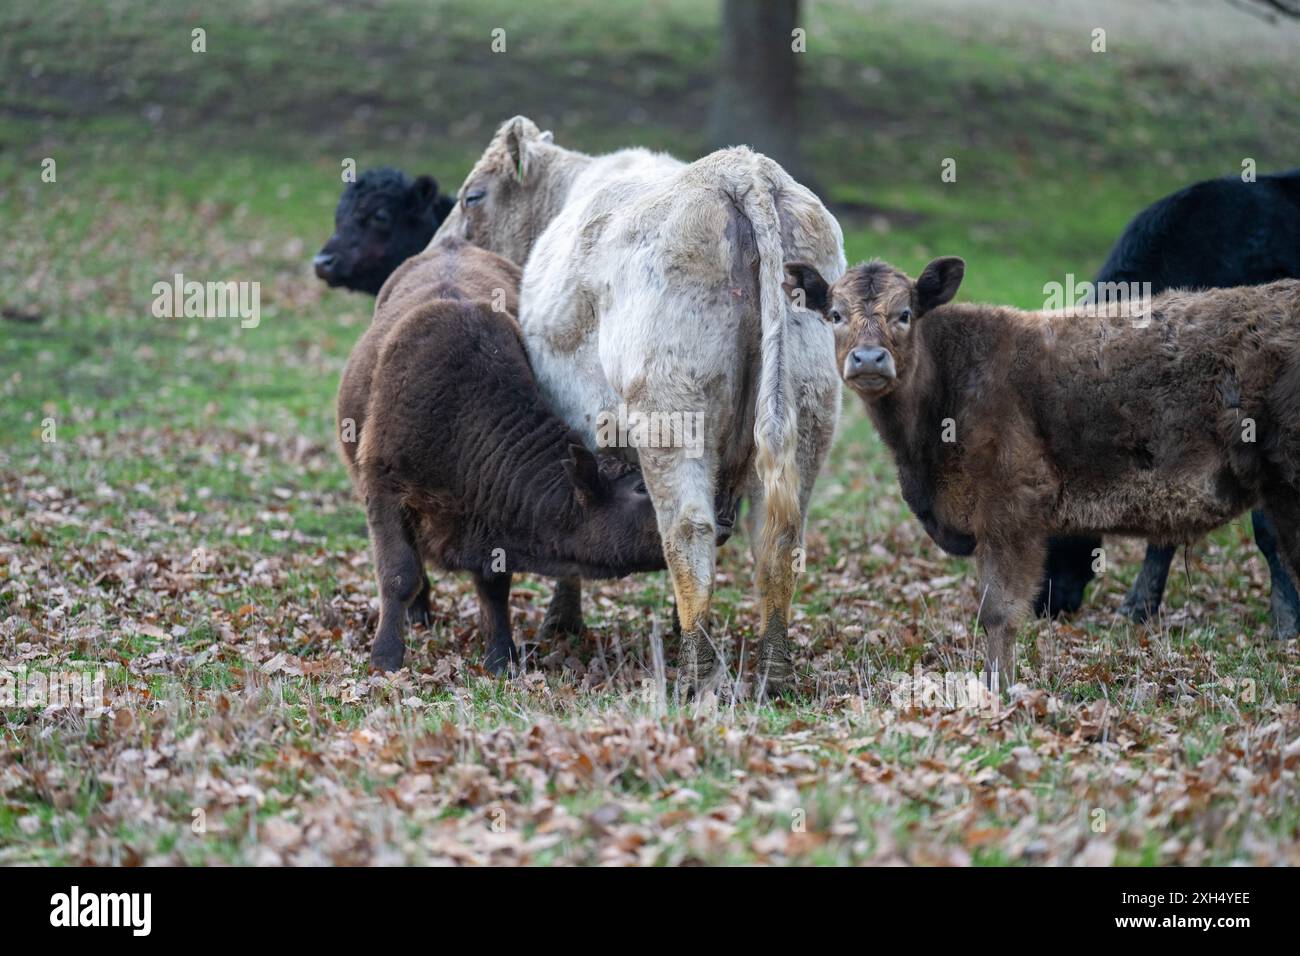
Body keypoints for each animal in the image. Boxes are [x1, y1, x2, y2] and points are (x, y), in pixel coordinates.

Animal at [436, 117, 842, 697]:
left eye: (473, 195)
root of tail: (741, 168)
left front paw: (562, 622)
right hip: (809, 407)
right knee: (778, 538)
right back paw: (773, 672)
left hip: (671, 408)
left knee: (688, 529)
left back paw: (695, 673)